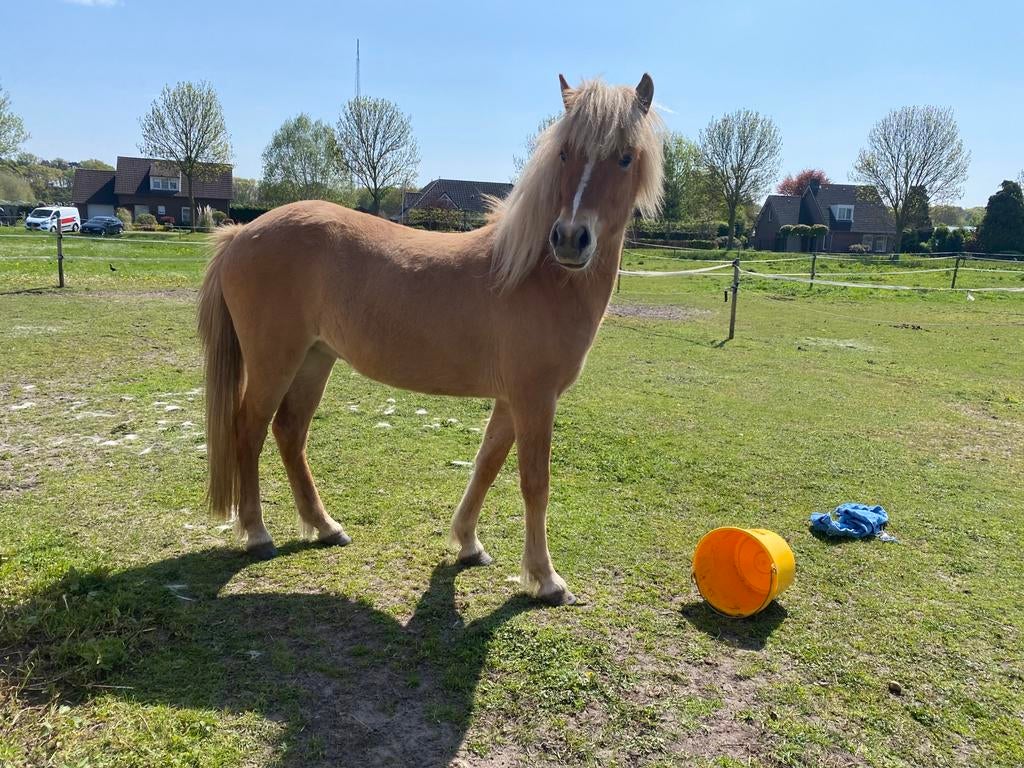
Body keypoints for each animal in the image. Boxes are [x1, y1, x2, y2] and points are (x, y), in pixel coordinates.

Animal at [198, 74, 664, 606]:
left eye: (624, 156)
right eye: (565, 152)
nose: (569, 239)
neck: (536, 277)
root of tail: (241, 233)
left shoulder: (512, 400)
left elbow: (486, 464)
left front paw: (468, 544)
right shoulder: (535, 398)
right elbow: (534, 483)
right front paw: (545, 579)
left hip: (315, 359)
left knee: (290, 433)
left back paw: (326, 527)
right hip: (275, 360)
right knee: (249, 430)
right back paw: (258, 534)